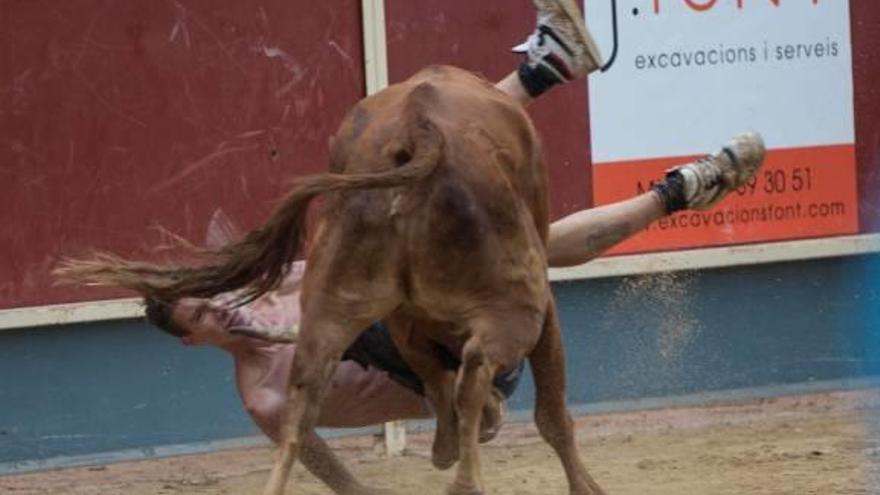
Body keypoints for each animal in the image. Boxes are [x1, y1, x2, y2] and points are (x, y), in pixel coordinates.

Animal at [55, 66, 604, 495]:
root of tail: (420, 129)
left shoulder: (403, 319)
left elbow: (435, 377)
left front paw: (449, 442)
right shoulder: (537, 309)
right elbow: (547, 411)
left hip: (333, 303)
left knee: (302, 409)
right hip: (517, 307)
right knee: (478, 376)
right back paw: (469, 478)